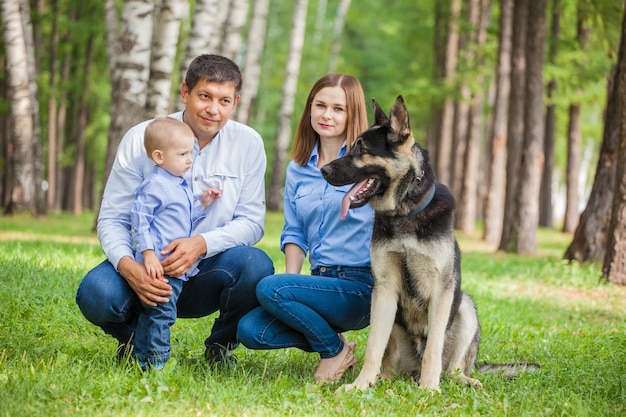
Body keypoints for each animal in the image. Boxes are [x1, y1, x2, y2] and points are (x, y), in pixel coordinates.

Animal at [320, 95, 480, 390]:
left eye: (361, 148)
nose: (323, 169)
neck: (405, 211)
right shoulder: (384, 288)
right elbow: (374, 345)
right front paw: (360, 385)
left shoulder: (441, 290)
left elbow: (433, 349)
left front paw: (429, 389)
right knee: (389, 362)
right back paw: (382, 378)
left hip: (464, 307)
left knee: (452, 366)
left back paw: (461, 380)